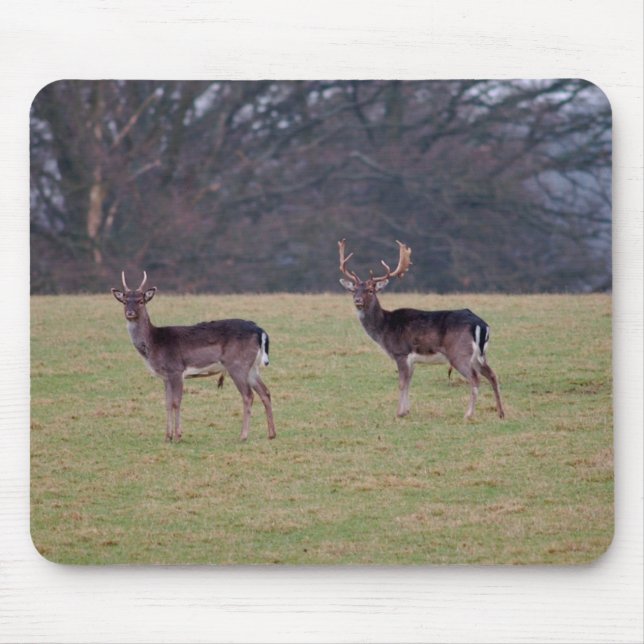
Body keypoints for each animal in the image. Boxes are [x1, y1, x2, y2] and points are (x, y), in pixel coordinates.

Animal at [111, 272, 276, 442]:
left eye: (141, 300)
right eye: (124, 301)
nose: (130, 313)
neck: (154, 342)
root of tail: (259, 330)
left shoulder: (176, 370)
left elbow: (176, 402)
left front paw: (177, 436)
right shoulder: (165, 376)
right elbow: (167, 403)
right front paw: (167, 436)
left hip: (237, 364)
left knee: (248, 395)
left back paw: (243, 435)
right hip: (252, 367)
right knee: (265, 392)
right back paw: (271, 434)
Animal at [338, 239, 505, 421]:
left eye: (370, 290)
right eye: (353, 289)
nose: (357, 300)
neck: (384, 328)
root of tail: (481, 324)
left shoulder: (401, 352)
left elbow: (402, 383)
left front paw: (399, 413)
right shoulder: (412, 359)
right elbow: (409, 383)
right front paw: (406, 411)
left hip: (459, 353)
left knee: (475, 378)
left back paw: (468, 414)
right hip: (480, 355)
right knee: (493, 375)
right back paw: (501, 413)